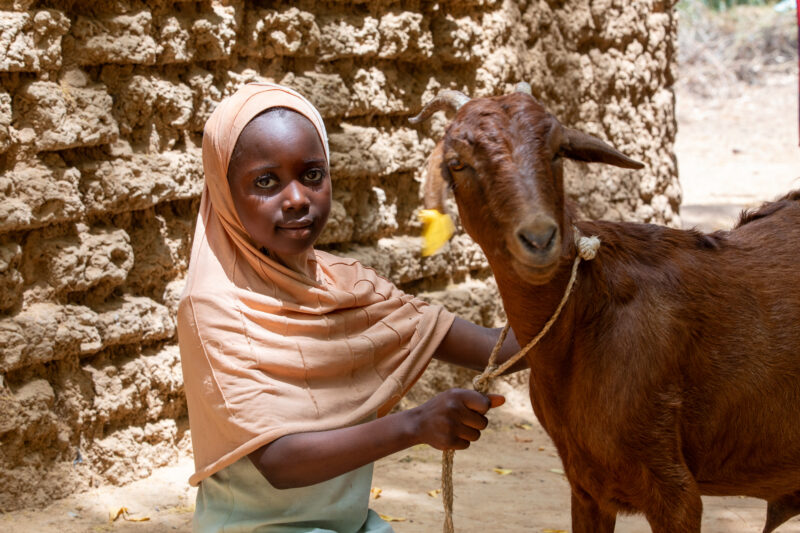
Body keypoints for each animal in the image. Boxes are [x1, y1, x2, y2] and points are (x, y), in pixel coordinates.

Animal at [411, 85, 800, 533]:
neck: (584, 320)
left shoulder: (675, 491)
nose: (540, 238)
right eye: (457, 163)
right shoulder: (586, 486)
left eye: (558, 152)